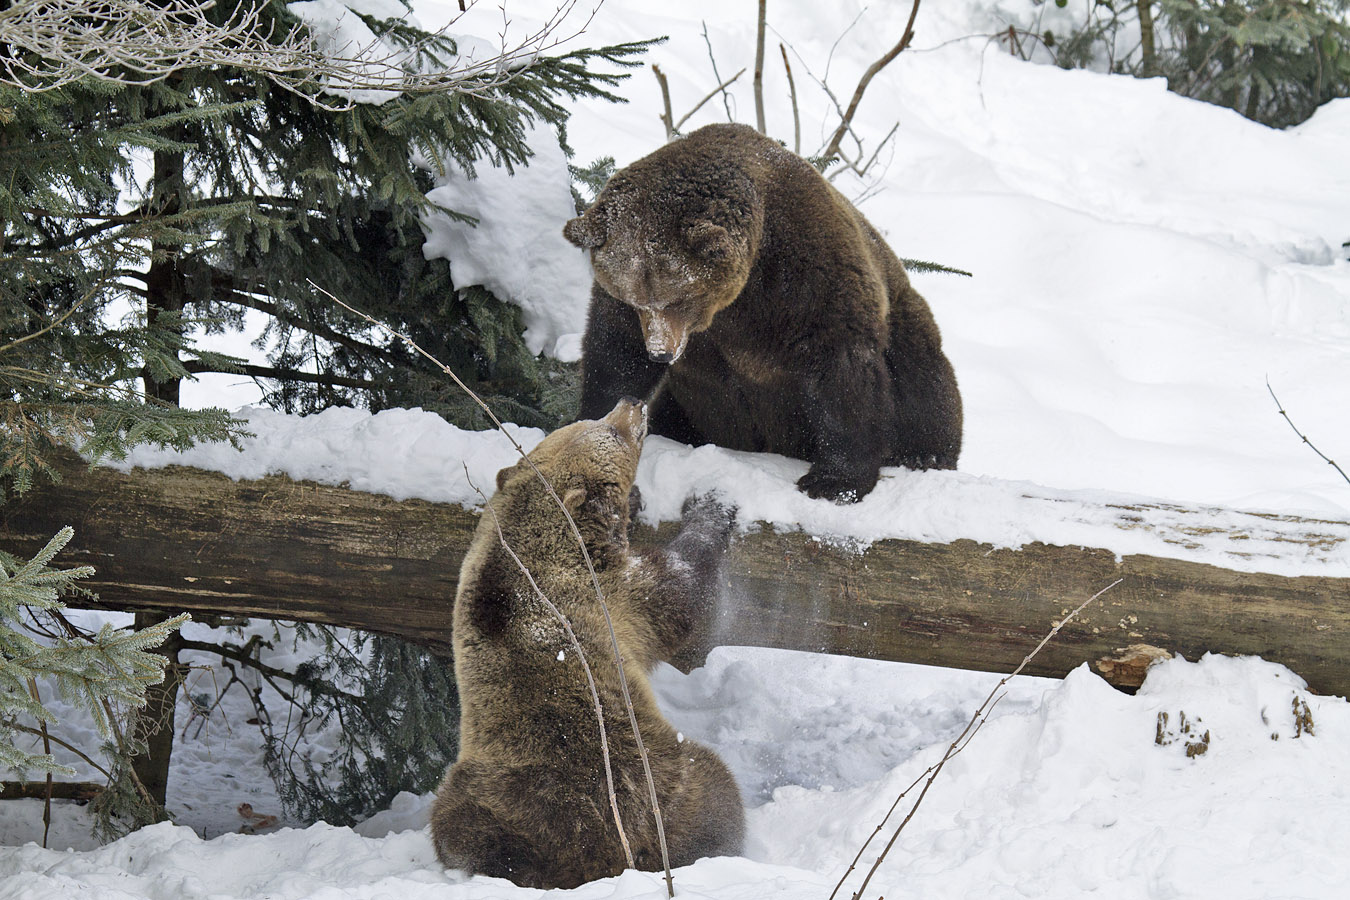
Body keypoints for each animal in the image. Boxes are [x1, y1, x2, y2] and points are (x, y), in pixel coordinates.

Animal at [429, 396, 745, 890]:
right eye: (607, 430)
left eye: (584, 420)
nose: (631, 403)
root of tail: (596, 851)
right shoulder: (618, 596)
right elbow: (684, 588)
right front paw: (713, 501)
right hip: (666, 779)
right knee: (718, 794)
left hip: (486, 799)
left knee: (460, 827)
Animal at [564, 120, 966, 504]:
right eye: (635, 299)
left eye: (679, 297)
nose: (661, 352)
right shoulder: (635, 313)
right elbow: (616, 355)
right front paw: (593, 425)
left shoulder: (805, 277)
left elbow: (841, 367)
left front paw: (834, 482)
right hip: (694, 407)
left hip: (904, 321)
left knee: (924, 379)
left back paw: (925, 454)